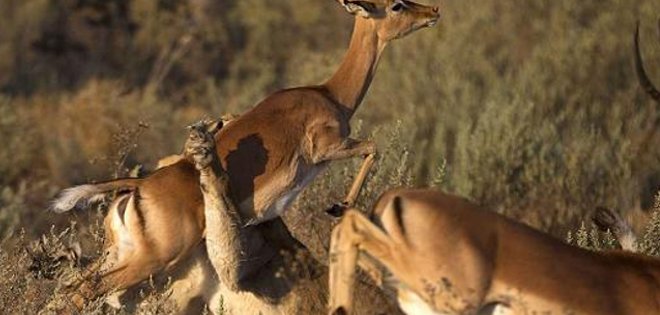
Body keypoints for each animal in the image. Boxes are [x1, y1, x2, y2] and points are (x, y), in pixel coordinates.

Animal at [49, 0, 440, 312]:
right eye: (396, 4)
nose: (433, 11)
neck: (330, 95)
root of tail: (139, 187)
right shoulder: (328, 149)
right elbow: (374, 147)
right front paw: (339, 206)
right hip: (152, 259)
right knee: (82, 292)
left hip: (121, 255)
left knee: (72, 289)